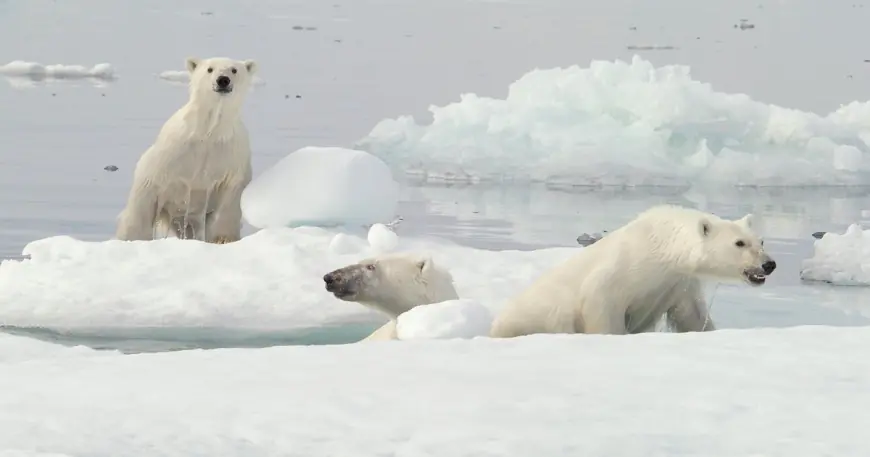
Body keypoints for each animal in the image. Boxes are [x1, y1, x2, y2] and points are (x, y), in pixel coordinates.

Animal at [115, 56, 258, 243]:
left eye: (234, 70)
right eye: (209, 69)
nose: (223, 80)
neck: (209, 132)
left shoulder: (231, 156)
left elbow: (230, 199)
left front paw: (223, 238)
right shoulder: (170, 155)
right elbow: (151, 191)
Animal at [489, 204, 777, 338]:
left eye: (760, 241)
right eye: (739, 243)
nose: (769, 265)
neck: (661, 244)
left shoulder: (678, 281)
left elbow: (691, 314)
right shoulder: (620, 271)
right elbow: (600, 303)